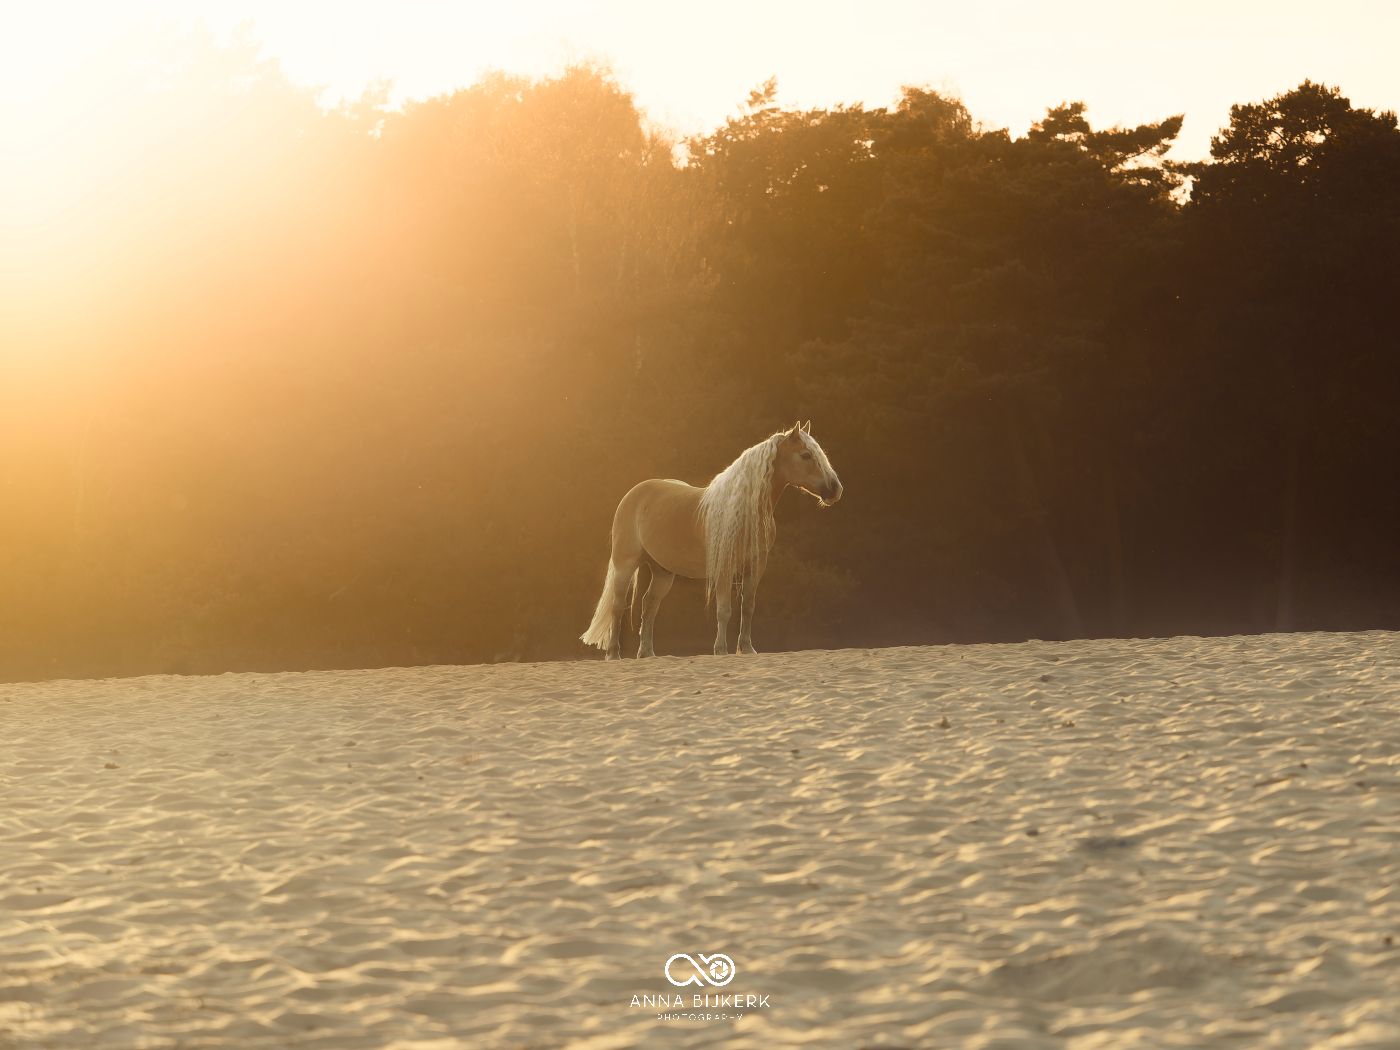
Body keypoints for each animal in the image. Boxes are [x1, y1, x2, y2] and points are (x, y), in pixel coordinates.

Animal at [580, 421, 843, 659]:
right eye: (806, 455)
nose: (835, 489)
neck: (742, 510)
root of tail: (634, 494)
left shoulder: (756, 565)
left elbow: (748, 607)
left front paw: (747, 649)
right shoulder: (724, 567)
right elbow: (724, 610)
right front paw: (721, 650)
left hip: (663, 571)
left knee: (649, 605)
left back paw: (647, 653)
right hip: (626, 564)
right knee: (618, 607)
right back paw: (614, 654)